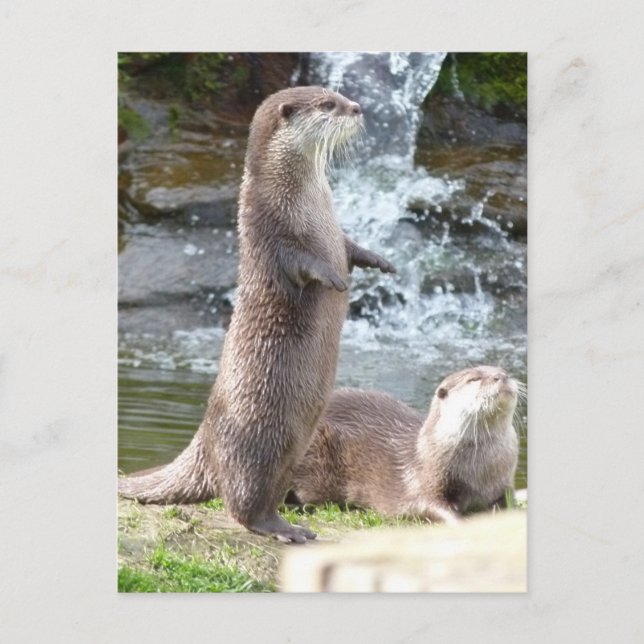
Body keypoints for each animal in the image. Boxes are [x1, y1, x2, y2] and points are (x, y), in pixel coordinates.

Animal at [118, 86, 395, 543]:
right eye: (328, 105)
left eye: (338, 95)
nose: (357, 108)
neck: (309, 201)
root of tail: (205, 439)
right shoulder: (269, 229)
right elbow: (302, 262)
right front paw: (334, 278)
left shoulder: (335, 232)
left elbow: (351, 246)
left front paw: (381, 261)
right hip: (255, 441)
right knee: (241, 501)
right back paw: (283, 529)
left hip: (295, 447)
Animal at [290, 366, 521, 523]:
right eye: (474, 379)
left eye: (503, 370)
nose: (502, 376)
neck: (482, 469)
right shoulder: (426, 480)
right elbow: (430, 506)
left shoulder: (504, 483)